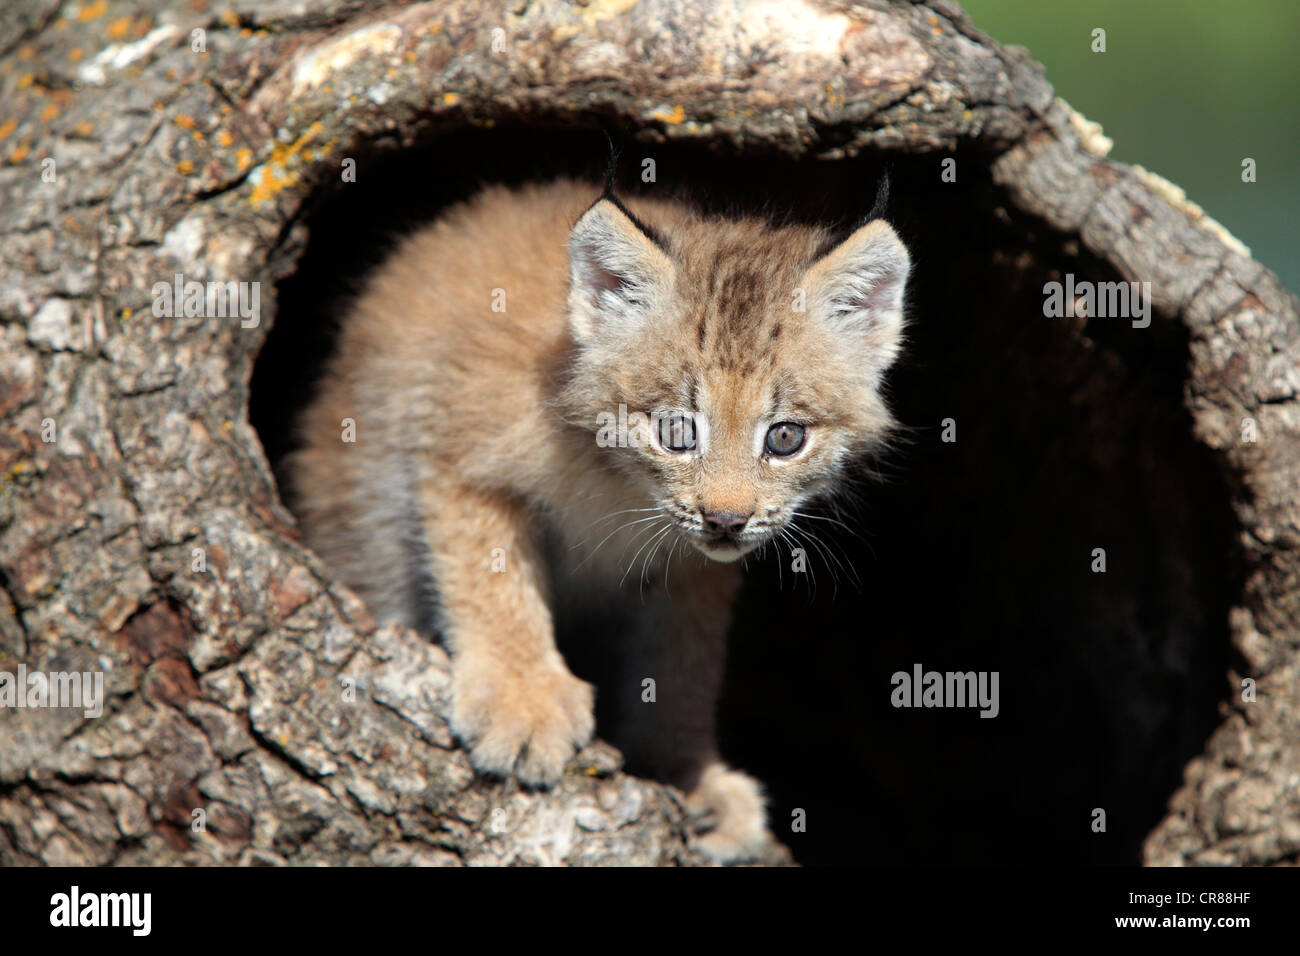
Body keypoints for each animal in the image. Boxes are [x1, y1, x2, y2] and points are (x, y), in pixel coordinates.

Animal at [289, 175, 909, 863]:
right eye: (675, 432)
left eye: (785, 438)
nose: (725, 518)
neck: (622, 482)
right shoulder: (462, 457)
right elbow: (491, 583)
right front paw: (522, 700)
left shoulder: (698, 566)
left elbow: (684, 661)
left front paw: (685, 772)